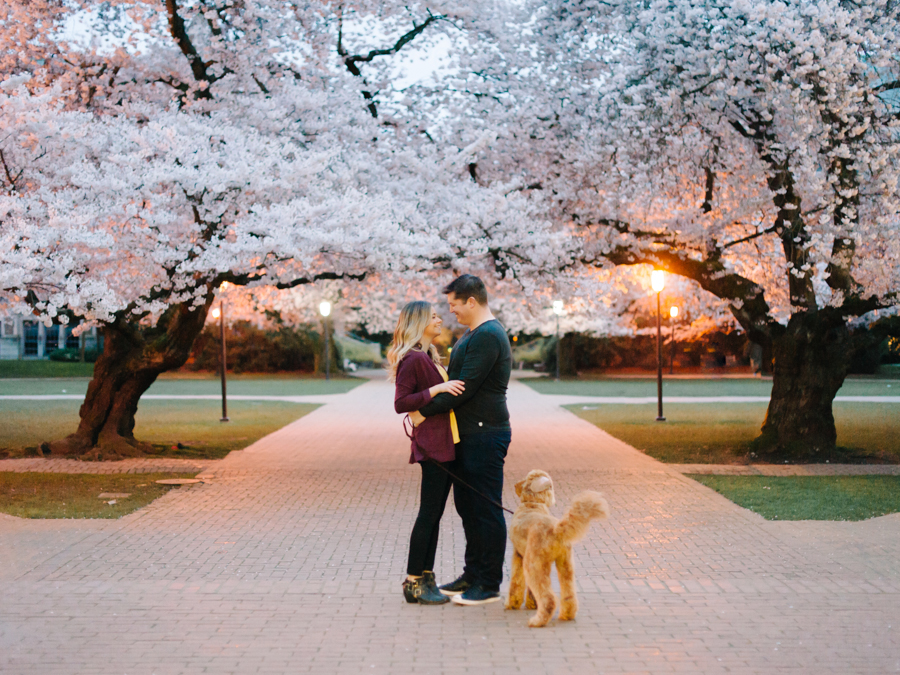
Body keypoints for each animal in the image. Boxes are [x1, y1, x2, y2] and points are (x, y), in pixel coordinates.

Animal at [506, 470, 612, 628]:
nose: (515, 486)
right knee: (568, 594)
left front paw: (512, 604)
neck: (532, 504)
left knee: (548, 598)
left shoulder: (519, 555)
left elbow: (516, 582)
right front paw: (532, 604)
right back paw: (567, 615)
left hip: (533, 565)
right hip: (565, 564)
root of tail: (556, 530)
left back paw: (538, 621)